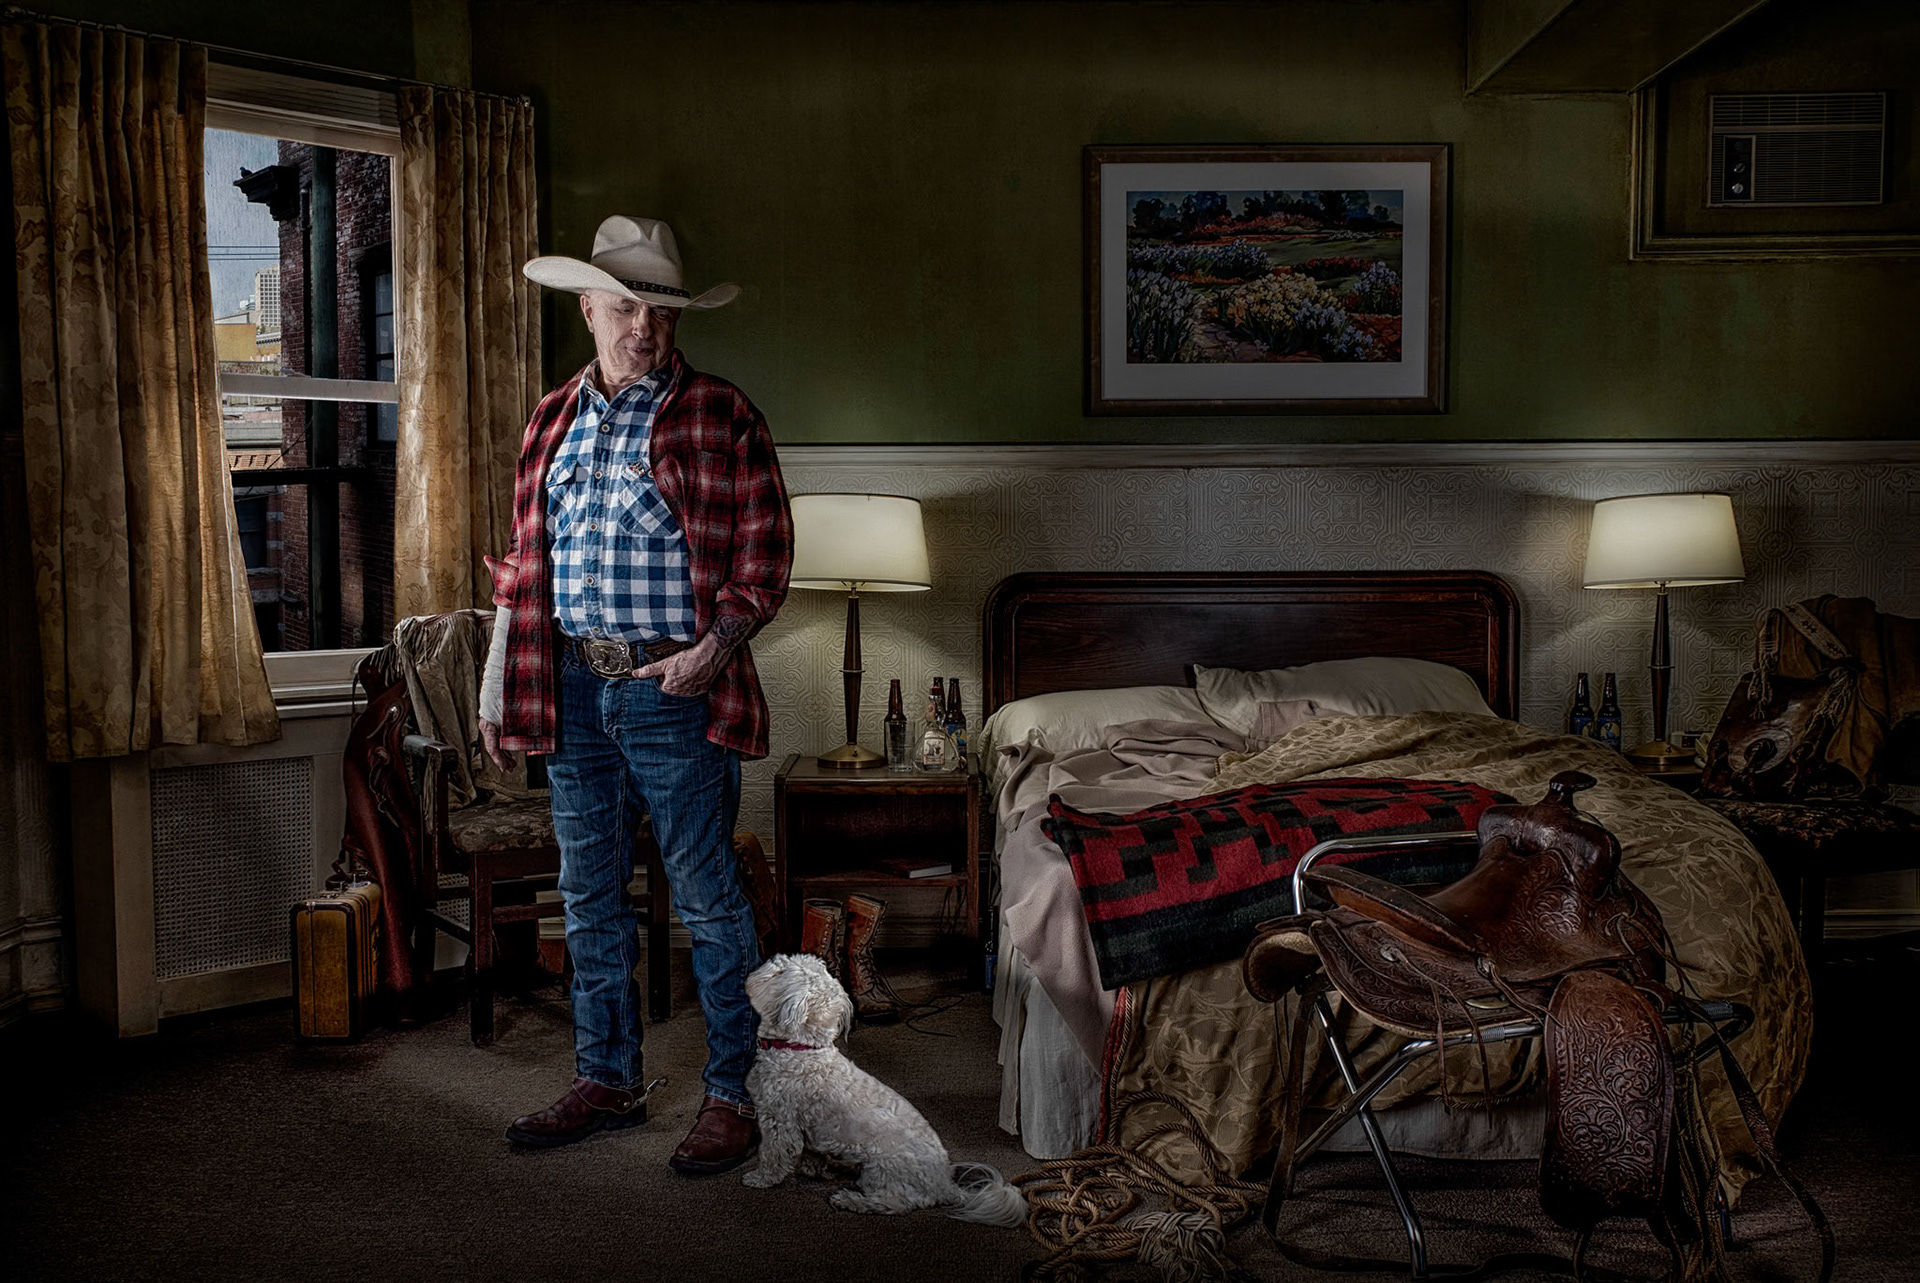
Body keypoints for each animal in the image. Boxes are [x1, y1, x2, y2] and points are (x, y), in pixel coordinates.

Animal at [741, 953, 1027, 1227]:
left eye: (779, 971)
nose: (765, 962)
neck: (802, 1050)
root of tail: (945, 1185)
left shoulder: (779, 1121)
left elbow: (774, 1155)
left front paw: (760, 1178)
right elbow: (811, 1154)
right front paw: (813, 1169)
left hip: (881, 1170)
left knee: (894, 1203)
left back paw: (850, 1200)